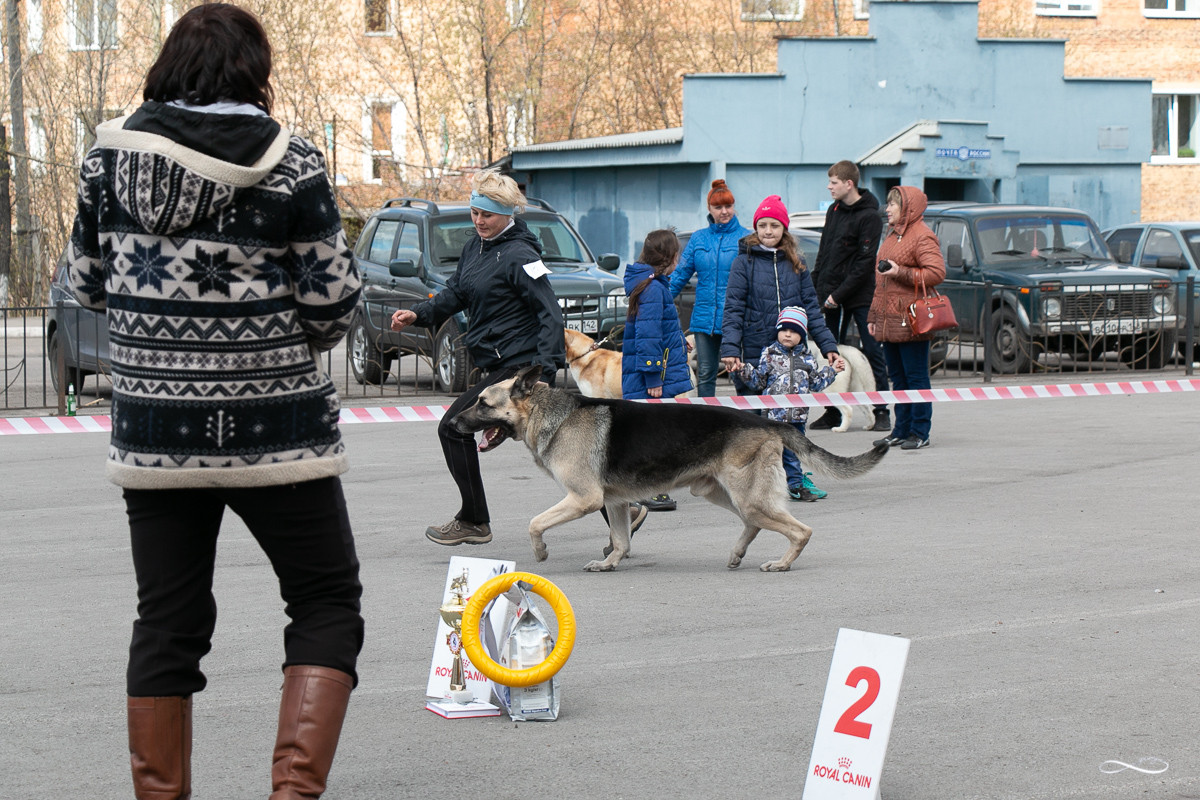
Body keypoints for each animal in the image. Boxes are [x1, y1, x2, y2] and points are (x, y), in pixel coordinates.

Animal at [453, 367, 888, 573]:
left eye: (483, 404)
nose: (453, 424)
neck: (550, 413)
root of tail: (767, 422)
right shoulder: (613, 503)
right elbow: (621, 540)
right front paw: (609, 564)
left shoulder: (583, 499)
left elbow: (535, 523)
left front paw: (541, 553)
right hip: (719, 493)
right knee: (755, 524)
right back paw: (738, 554)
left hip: (747, 498)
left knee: (801, 530)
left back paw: (782, 563)